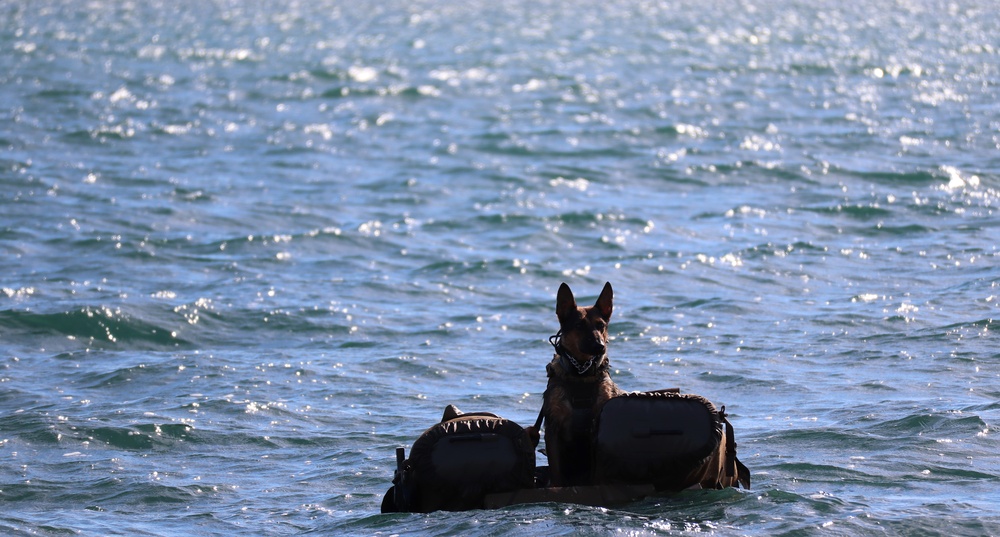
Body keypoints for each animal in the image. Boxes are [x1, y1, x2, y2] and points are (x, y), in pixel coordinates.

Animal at [528, 280, 620, 486]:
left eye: (601, 325)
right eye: (578, 325)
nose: (599, 346)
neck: (581, 373)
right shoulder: (553, 428)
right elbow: (556, 470)